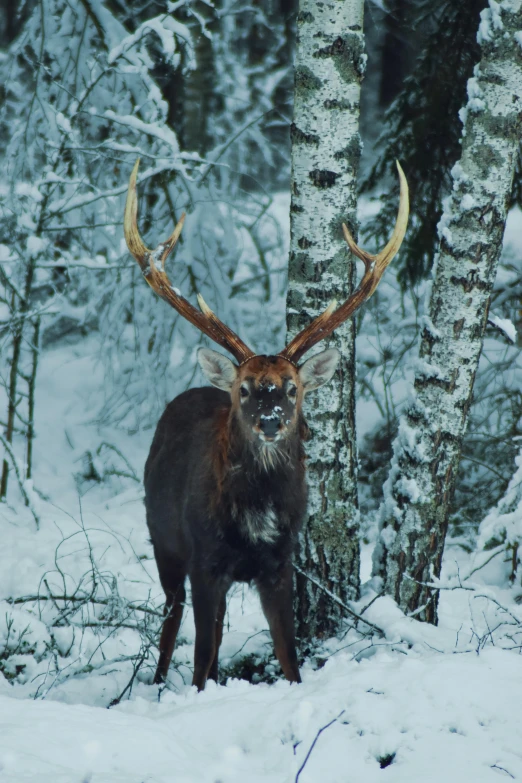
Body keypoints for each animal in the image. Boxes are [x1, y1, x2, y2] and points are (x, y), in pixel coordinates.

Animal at [122, 161, 406, 692]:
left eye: (292, 389)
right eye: (246, 389)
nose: (271, 422)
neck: (255, 518)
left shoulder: (281, 563)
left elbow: (288, 654)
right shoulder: (204, 560)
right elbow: (201, 655)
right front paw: (198, 695)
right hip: (163, 539)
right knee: (172, 618)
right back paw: (155, 683)